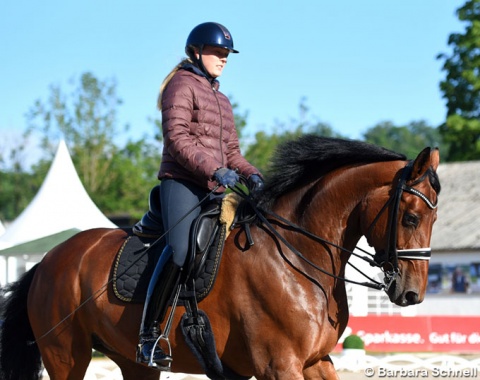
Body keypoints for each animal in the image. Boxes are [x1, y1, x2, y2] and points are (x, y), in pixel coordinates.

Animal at [0, 137, 438, 380]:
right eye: (411, 216)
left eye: (434, 218)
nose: (411, 294)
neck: (297, 258)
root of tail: (49, 260)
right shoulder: (279, 366)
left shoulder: (317, 361)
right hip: (66, 357)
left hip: (134, 364)